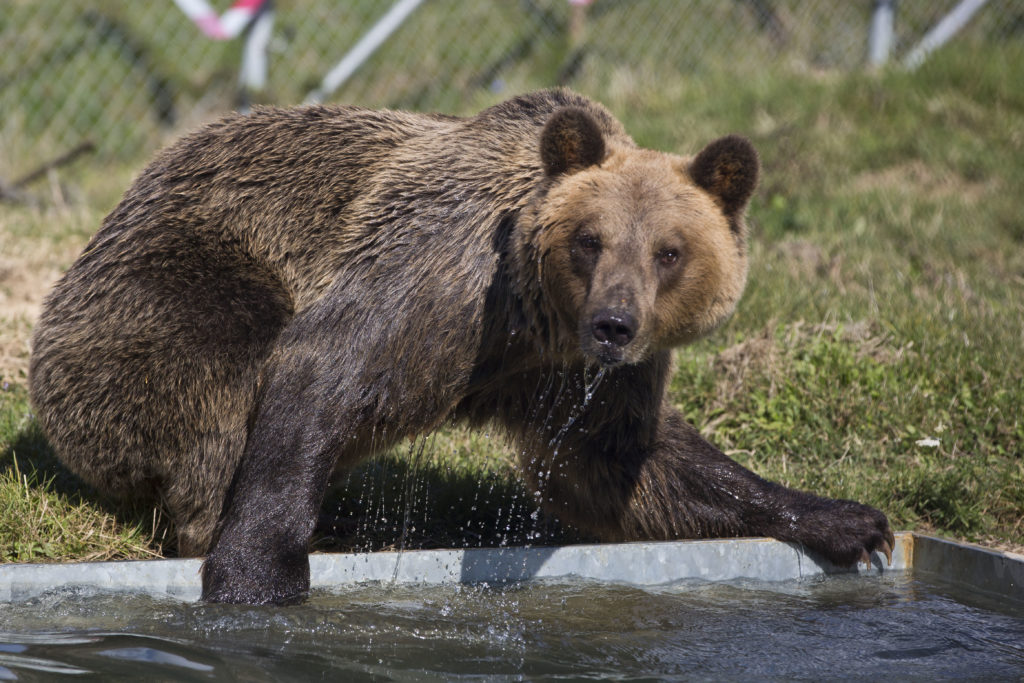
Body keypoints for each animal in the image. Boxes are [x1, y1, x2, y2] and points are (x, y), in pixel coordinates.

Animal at [28, 89, 892, 602]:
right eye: (591, 238)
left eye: (669, 251)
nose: (614, 323)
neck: (532, 319)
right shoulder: (441, 283)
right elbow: (323, 370)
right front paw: (257, 571)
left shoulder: (577, 375)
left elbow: (622, 465)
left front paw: (848, 522)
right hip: (171, 277)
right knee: (216, 378)